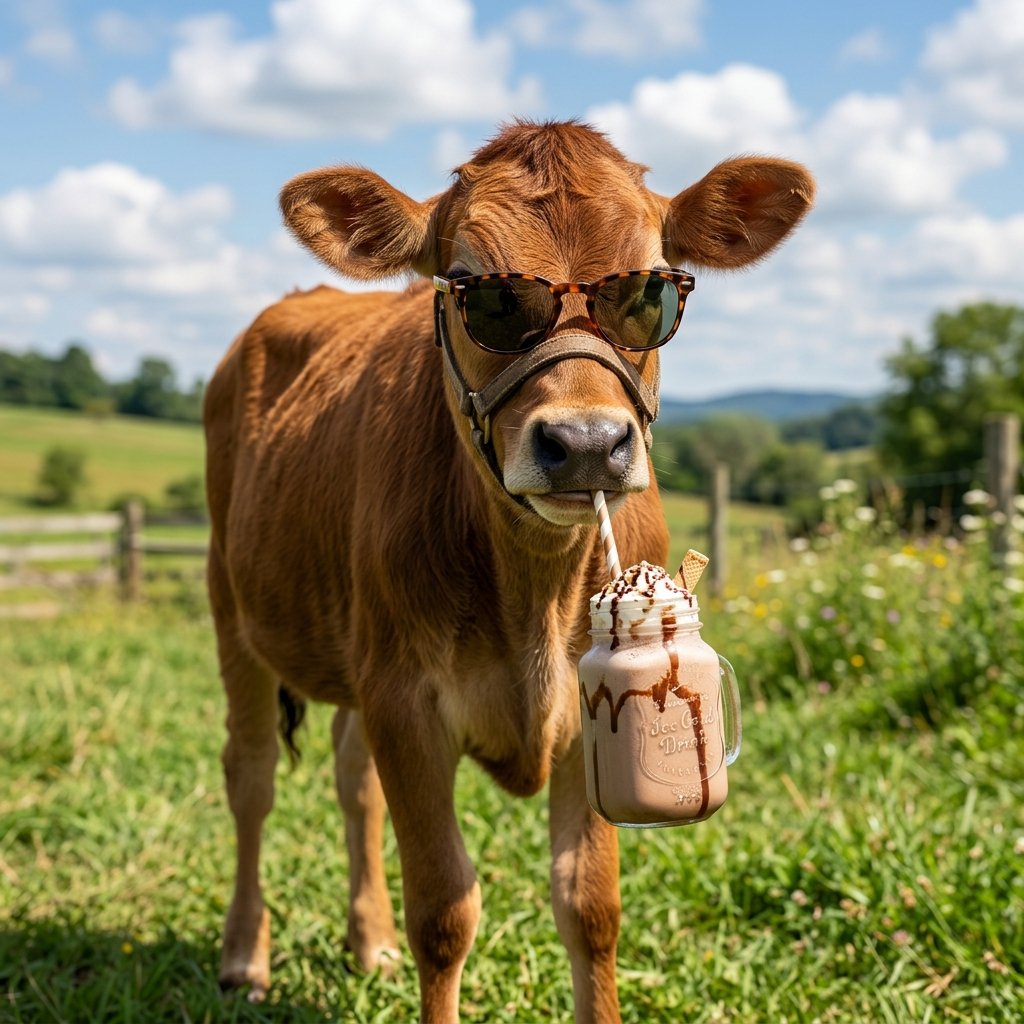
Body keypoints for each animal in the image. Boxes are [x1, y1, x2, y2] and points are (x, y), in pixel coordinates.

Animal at [204, 119, 813, 1022]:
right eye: (476, 291)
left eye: (652, 291)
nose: (588, 444)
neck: (536, 594)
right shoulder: (407, 702)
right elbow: (444, 912)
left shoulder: (575, 718)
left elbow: (589, 905)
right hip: (231, 607)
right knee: (251, 778)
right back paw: (245, 955)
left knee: (353, 780)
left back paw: (367, 939)